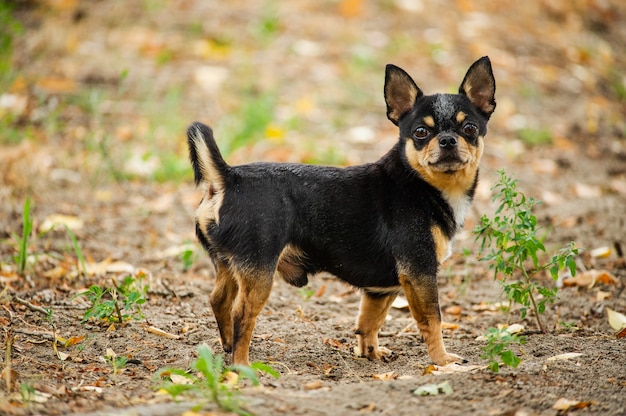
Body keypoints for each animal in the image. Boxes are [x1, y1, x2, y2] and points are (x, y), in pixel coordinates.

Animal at [188, 57, 494, 366]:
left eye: (470, 128)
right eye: (421, 132)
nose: (447, 140)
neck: (423, 183)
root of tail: (229, 178)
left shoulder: (381, 289)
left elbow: (370, 321)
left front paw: (370, 353)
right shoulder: (420, 272)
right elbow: (432, 319)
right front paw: (442, 361)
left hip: (228, 264)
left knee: (219, 300)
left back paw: (228, 349)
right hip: (259, 270)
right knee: (241, 314)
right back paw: (242, 366)